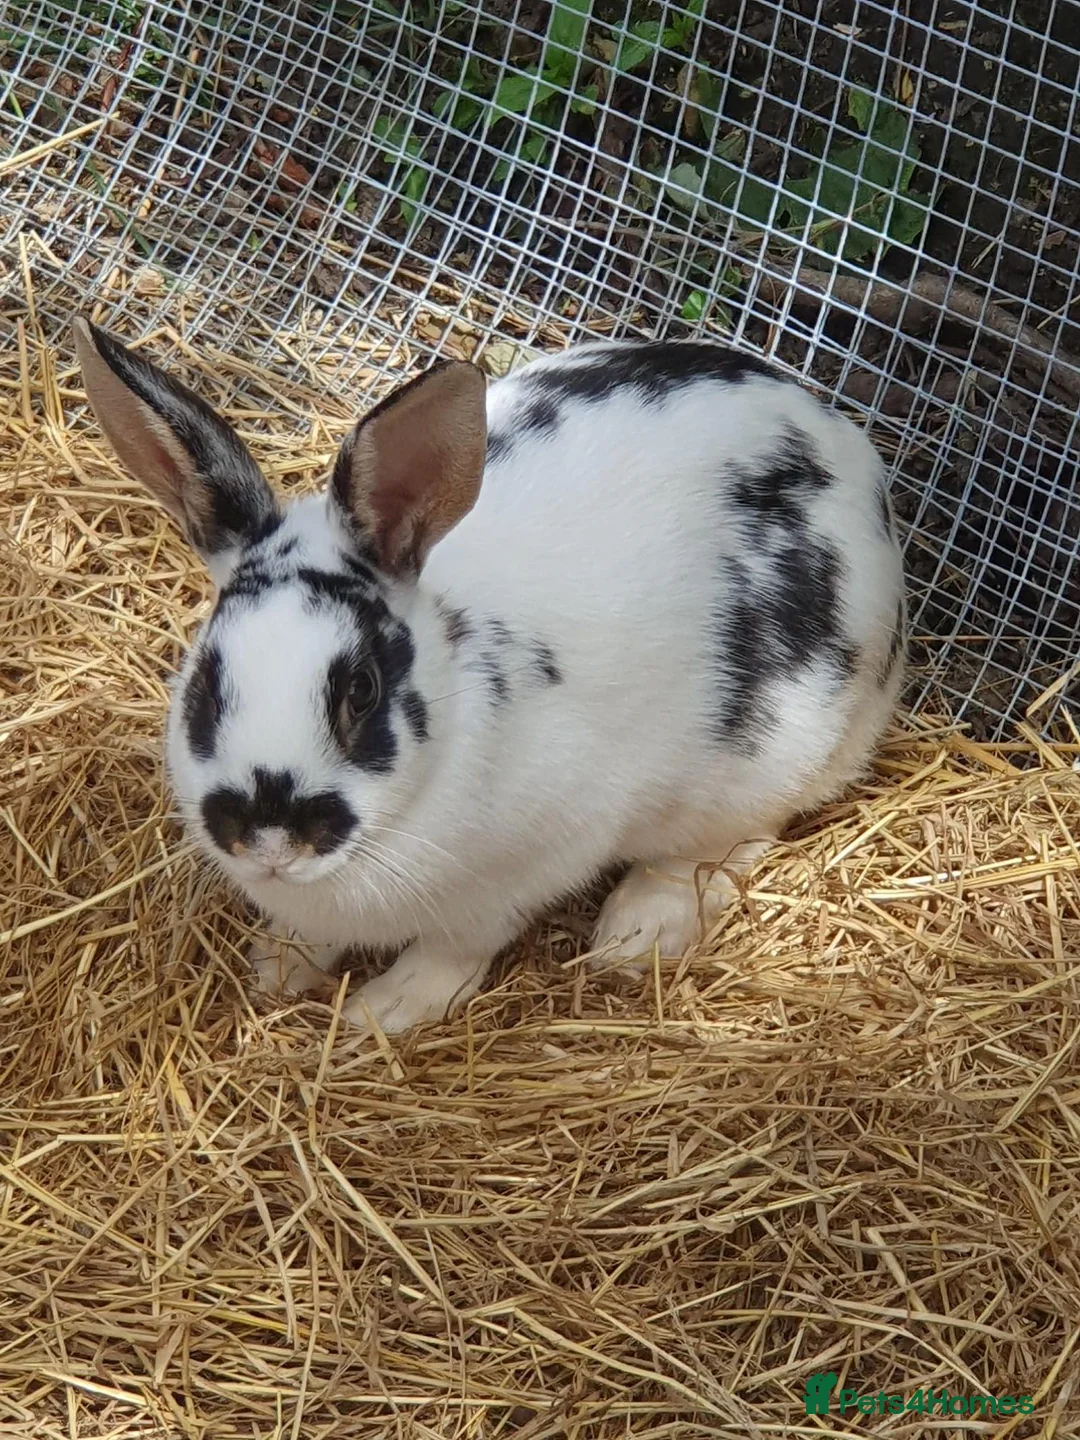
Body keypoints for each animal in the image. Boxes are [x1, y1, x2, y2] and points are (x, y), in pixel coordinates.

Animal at [73, 318, 906, 1036]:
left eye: (362, 689)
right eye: (206, 681)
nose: (270, 838)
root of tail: (845, 447)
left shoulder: (522, 873)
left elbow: (456, 950)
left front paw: (382, 1010)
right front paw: (278, 966)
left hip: (771, 756)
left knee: (732, 840)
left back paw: (636, 930)